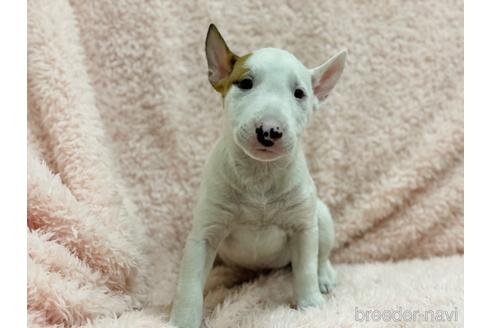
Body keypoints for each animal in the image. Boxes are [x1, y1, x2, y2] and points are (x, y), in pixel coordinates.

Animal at [169, 23, 346, 328]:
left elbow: (306, 269)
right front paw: (183, 321)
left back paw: (324, 278)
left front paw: (310, 306)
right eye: (245, 83)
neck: (260, 174)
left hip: (320, 216)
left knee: (321, 256)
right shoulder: (204, 234)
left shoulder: (303, 228)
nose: (269, 131)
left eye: (299, 93)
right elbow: (190, 282)